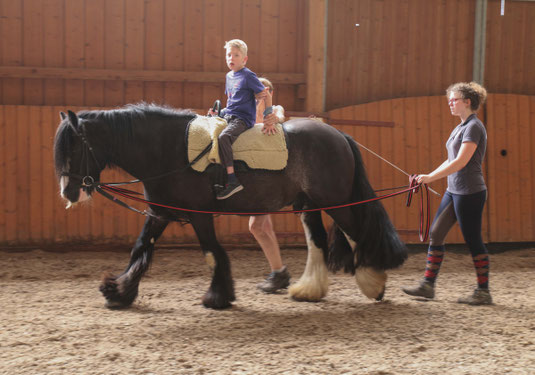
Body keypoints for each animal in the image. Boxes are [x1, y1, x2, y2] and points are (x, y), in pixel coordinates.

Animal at [53, 104, 406, 310]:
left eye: (74, 149)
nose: (68, 193)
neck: (169, 149)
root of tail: (338, 134)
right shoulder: (159, 214)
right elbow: (140, 249)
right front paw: (119, 291)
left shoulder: (199, 216)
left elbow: (212, 253)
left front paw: (218, 296)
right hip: (309, 205)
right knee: (318, 241)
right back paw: (310, 290)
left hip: (337, 202)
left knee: (358, 233)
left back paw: (373, 284)